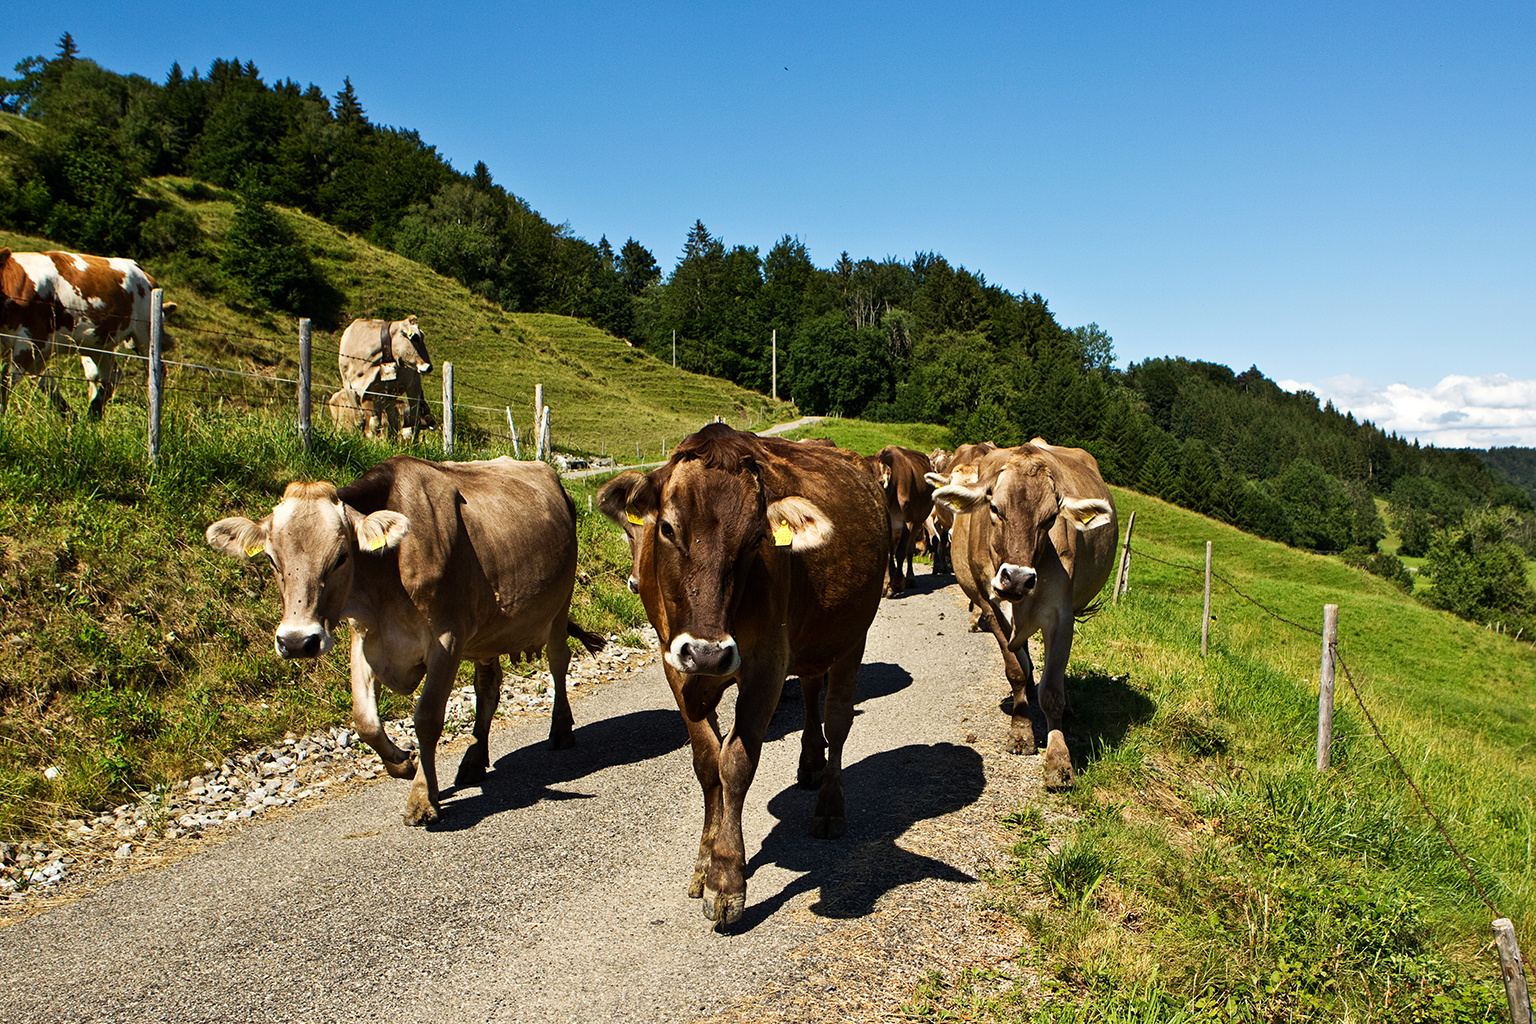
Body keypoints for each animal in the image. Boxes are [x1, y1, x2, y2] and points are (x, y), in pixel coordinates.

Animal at [0, 248, 176, 420]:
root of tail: (143, 272)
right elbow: (43, 382)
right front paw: (71, 416)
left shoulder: (31, 341)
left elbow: (7, 380)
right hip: (97, 343)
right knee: (113, 373)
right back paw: (94, 412)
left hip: (145, 334)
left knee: (157, 371)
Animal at [207, 457, 602, 822]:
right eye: (272, 560)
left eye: (341, 556)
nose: (296, 641)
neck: (384, 577)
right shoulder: (365, 638)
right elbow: (364, 721)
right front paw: (403, 763)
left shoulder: (447, 639)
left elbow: (427, 718)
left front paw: (423, 798)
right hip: (487, 632)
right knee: (488, 688)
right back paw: (474, 761)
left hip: (558, 606)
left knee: (558, 663)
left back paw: (560, 730)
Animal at [599, 423, 890, 927]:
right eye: (667, 528)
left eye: (756, 540)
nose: (708, 653)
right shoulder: (674, 663)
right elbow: (706, 761)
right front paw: (703, 861)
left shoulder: (766, 665)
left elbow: (734, 762)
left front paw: (726, 878)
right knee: (811, 693)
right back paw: (809, 763)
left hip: (853, 638)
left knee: (837, 720)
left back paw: (829, 807)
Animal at [921, 436, 1118, 792]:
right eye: (995, 508)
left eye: (1050, 518)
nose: (1016, 578)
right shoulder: (992, 607)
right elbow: (1016, 671)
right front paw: (1021, 732)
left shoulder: (1061, 615)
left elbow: (1052, 689)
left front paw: (1058, 761)